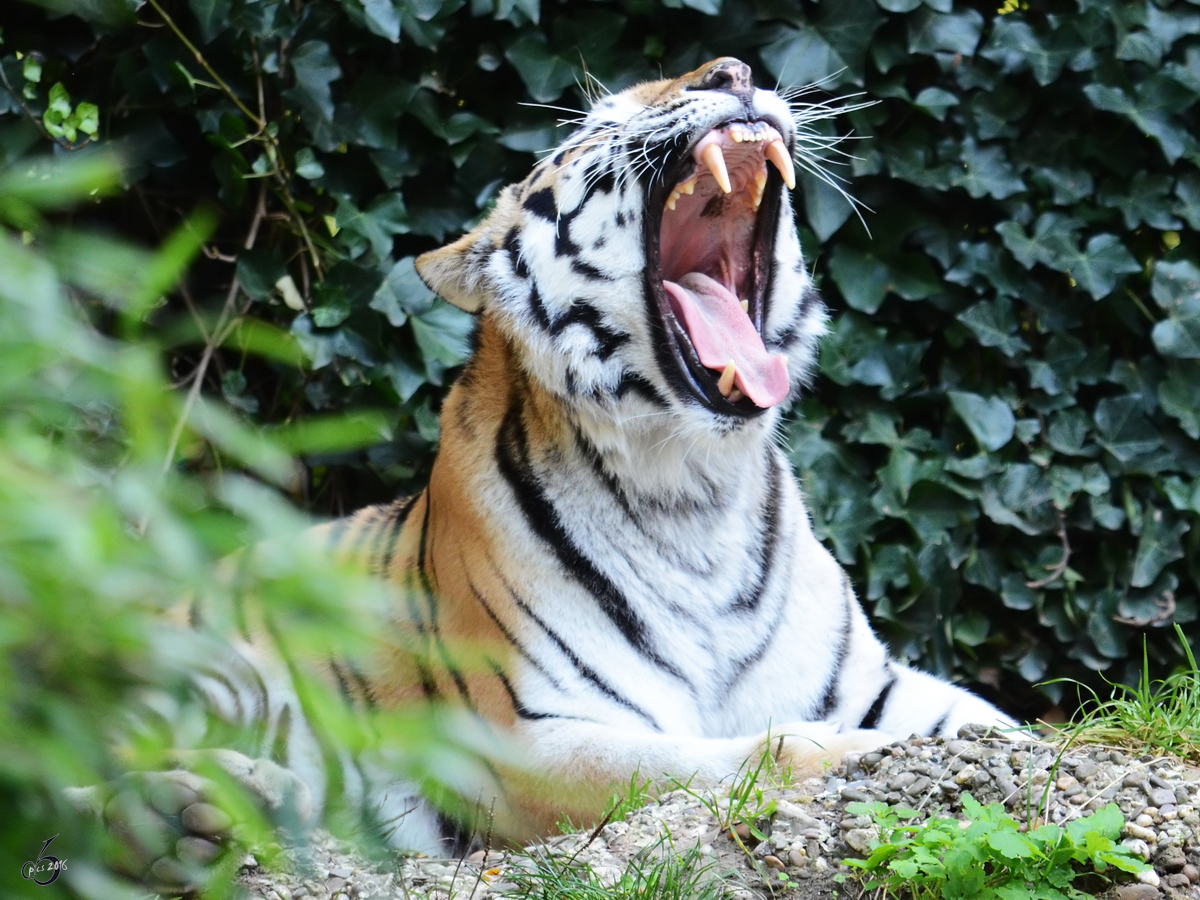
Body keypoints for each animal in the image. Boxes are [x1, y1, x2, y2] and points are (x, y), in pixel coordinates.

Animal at [75, 54, 1017, 883]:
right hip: (189, 661)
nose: (735, 73)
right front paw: (871, 754)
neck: (697, 488)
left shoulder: (874, 682)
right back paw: (187, 817)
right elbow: (741, 759)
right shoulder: (536, 736)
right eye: (601, 122)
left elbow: (995, 724)